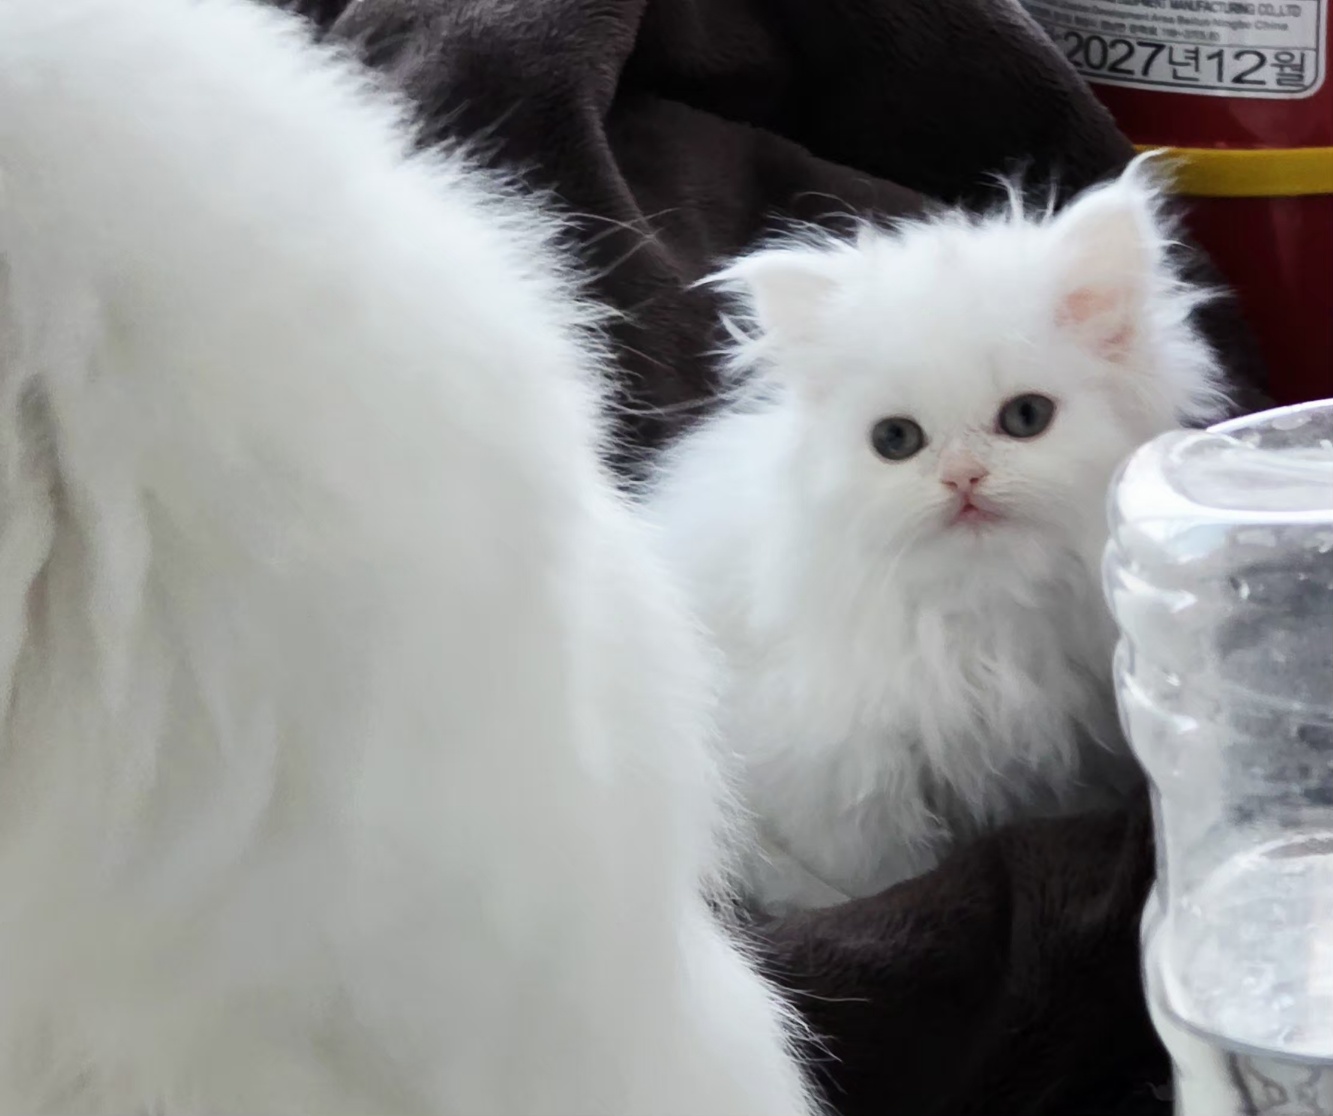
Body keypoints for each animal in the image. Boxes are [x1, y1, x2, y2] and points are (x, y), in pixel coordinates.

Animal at [644, 160, 1228, 915]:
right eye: (895, 439)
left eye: (1026, 417)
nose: (962, 477)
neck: (981, 613)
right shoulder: (841, 779)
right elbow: (882, 878)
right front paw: (872, 905)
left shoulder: (1054, 756)